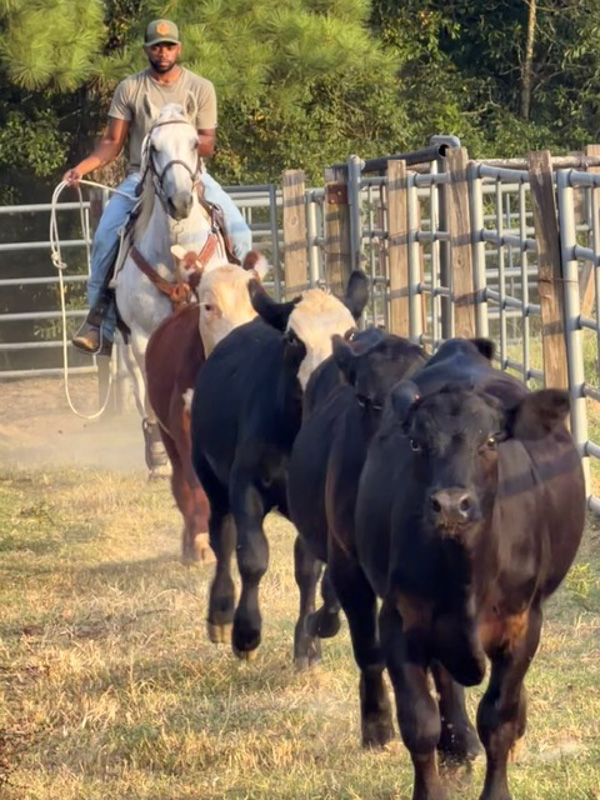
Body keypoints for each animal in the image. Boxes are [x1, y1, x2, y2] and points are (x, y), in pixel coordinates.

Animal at [114, 101, 233, 475]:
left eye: (195, 143)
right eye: (153, 147)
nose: (180, 201)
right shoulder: (141, 336)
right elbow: (149, 391)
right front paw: (160, 456)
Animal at [145, 254, 269, 563]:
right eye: (210, 306)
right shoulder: (184, 420)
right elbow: (195, 484)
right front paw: (201, 543)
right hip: (167, 437)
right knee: (180, 482)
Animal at [190, 272, 369, 661]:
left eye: (351, 334)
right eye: (292, 338)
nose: (326, 377)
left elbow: (312, 570)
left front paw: (311, 639)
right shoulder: (246, 484)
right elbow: (253, 557)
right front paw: (246, 633)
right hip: (210, 476)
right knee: (222, 537)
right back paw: (221, 614)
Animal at [354, 338, 586, 800]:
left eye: (491, 441)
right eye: (416, 443)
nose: (450, 504)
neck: (466, 576)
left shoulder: (523, 624)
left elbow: (498, 718)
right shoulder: (400, 622)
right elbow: (419, 723)